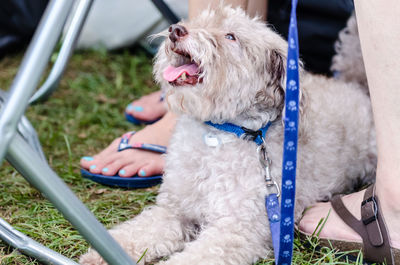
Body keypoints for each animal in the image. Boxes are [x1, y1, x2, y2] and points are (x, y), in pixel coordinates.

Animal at [80, 6, 376, 264]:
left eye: (231, 36)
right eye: (199, 21)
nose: (175, 30)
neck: (219, 134)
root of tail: (357, 88)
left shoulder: (237, 230)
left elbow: (194, 258)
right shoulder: (173, 210)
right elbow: (135, 232)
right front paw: (99, 254)